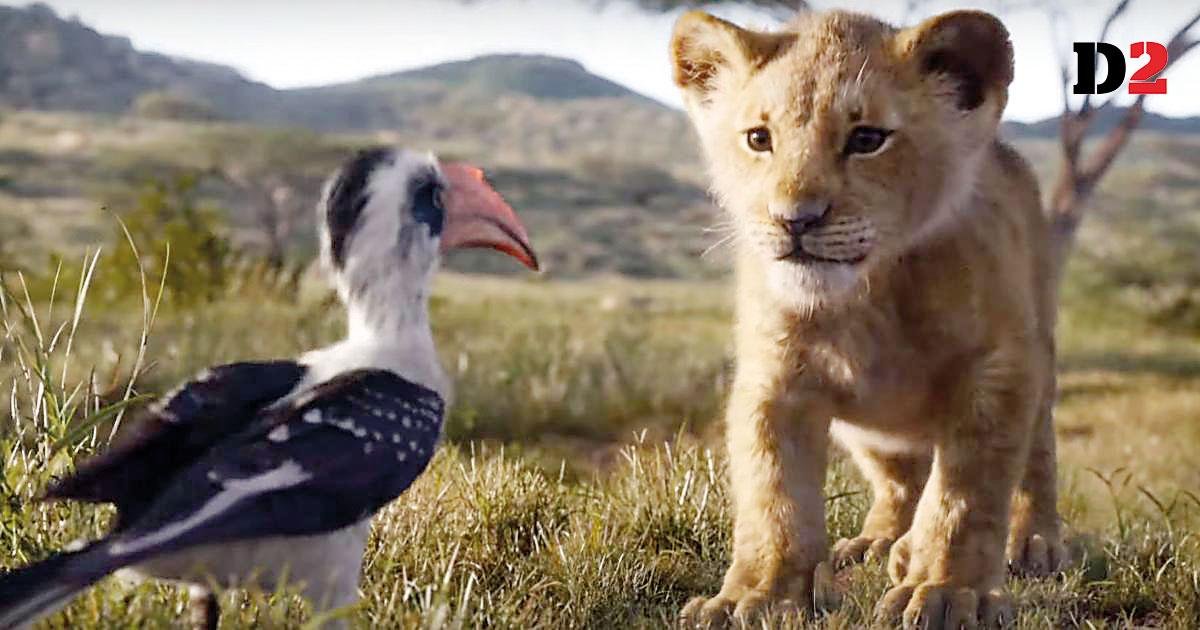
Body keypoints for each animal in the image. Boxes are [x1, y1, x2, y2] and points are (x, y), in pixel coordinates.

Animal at [670, 8, 1065, 628]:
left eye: (866, 139)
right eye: (759, 138)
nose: (794, 220)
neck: (869, 297)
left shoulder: (995, 370)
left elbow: (965, 496)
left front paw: (947, 591)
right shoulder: (774, 380)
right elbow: (774, 497)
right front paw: (754, 598)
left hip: (1040, 357)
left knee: (1036, 460)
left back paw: (1031, 543)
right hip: (871, 431)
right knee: (900, 481)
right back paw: (882, 542)